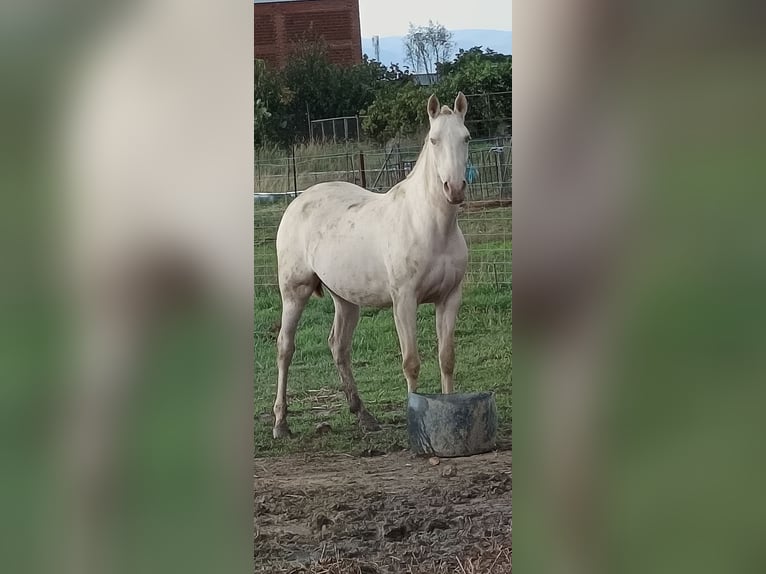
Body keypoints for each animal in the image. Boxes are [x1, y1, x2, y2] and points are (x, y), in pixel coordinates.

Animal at [272, 92, 472, 438]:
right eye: (433, 140)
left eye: (466, 138)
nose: (455, 188)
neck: (430, 225)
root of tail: (298, 201)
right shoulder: (404, 301)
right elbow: (411, 362)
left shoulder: (449, 298)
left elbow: (446, 357)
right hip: (294, 292)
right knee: (286, 347)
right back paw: (281, 423)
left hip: (345, 299)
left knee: (339, 347)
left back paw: (363, 414)